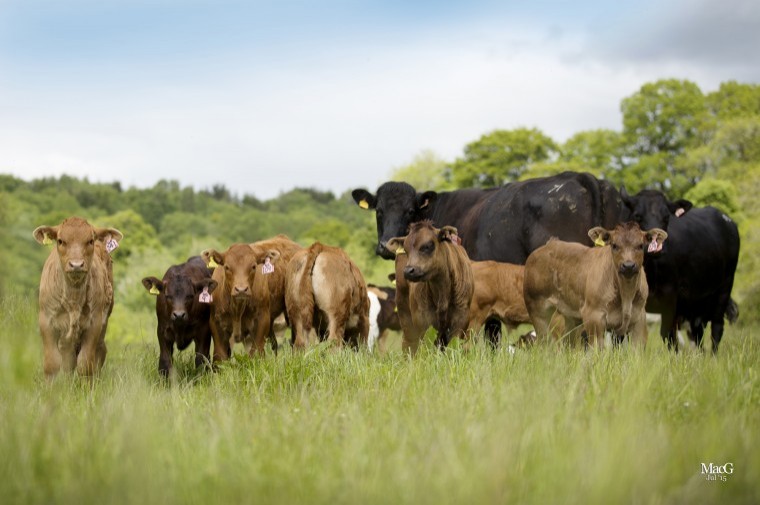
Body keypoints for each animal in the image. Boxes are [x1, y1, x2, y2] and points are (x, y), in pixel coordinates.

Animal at [33, 215, 122, 376]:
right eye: (60, 240)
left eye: (90, 240)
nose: (76, 265)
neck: (73, 297)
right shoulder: (46, 321)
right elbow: (52, 364)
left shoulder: (94, 324)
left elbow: (85, 364)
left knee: (100, 351)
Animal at [524, 221, 664, 346]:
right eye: (614, 245)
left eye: (640, 245)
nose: (628, 266)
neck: (626, 295)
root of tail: (550, 244)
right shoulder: (594, 317)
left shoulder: (640, 320)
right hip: (537, 309)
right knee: (545, 343)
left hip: (571, 317)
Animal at [620, 187, 740, 352]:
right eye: (637, 215)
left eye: (666, 217)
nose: (656, 247)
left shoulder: (670, 297)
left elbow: (668, 334)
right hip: (696, 304)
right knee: (697, 334)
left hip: (725, 287)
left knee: (717, 328)